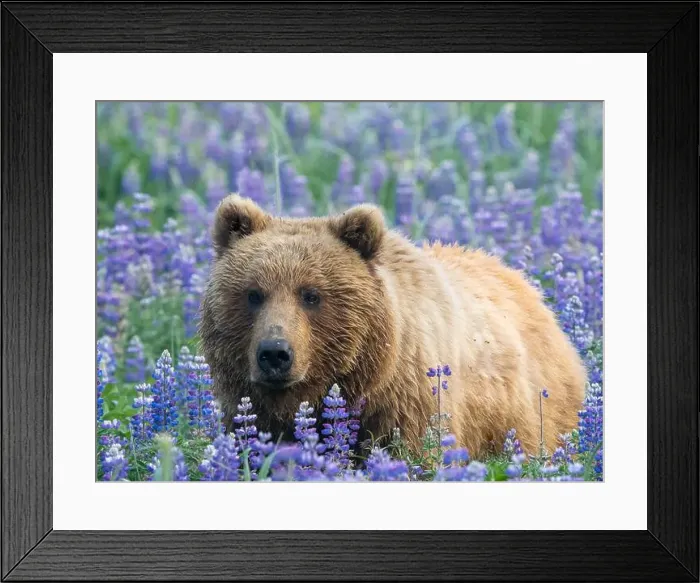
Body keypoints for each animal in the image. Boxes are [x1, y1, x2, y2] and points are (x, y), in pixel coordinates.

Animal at [198, 193, 587, 460]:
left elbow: (415, 455)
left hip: (527, 416)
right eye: (253, 293)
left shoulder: (407, 401)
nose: (275, 353)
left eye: (311, 295)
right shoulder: (254, 411)